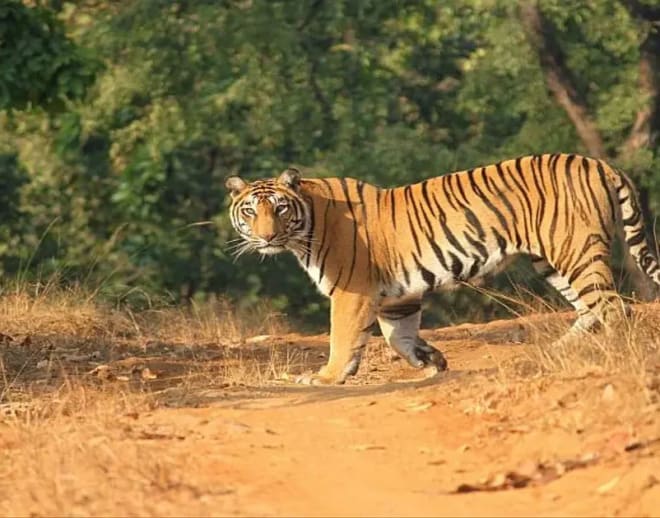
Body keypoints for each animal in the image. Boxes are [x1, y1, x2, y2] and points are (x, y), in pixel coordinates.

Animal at [227, 153, 660, 386]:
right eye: (250, 211)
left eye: (280, 209)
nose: (267, 236)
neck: (307, 225)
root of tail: (599, 162)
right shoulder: (396, 298)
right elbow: (397, 338)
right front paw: (431, 360)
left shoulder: (352, 292)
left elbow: (343, 338)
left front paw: (327, 377)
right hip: (554, 261)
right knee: (590, 308)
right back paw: (555, 351)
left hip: (574, 250)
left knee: (612, 307)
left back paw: (612, 354)